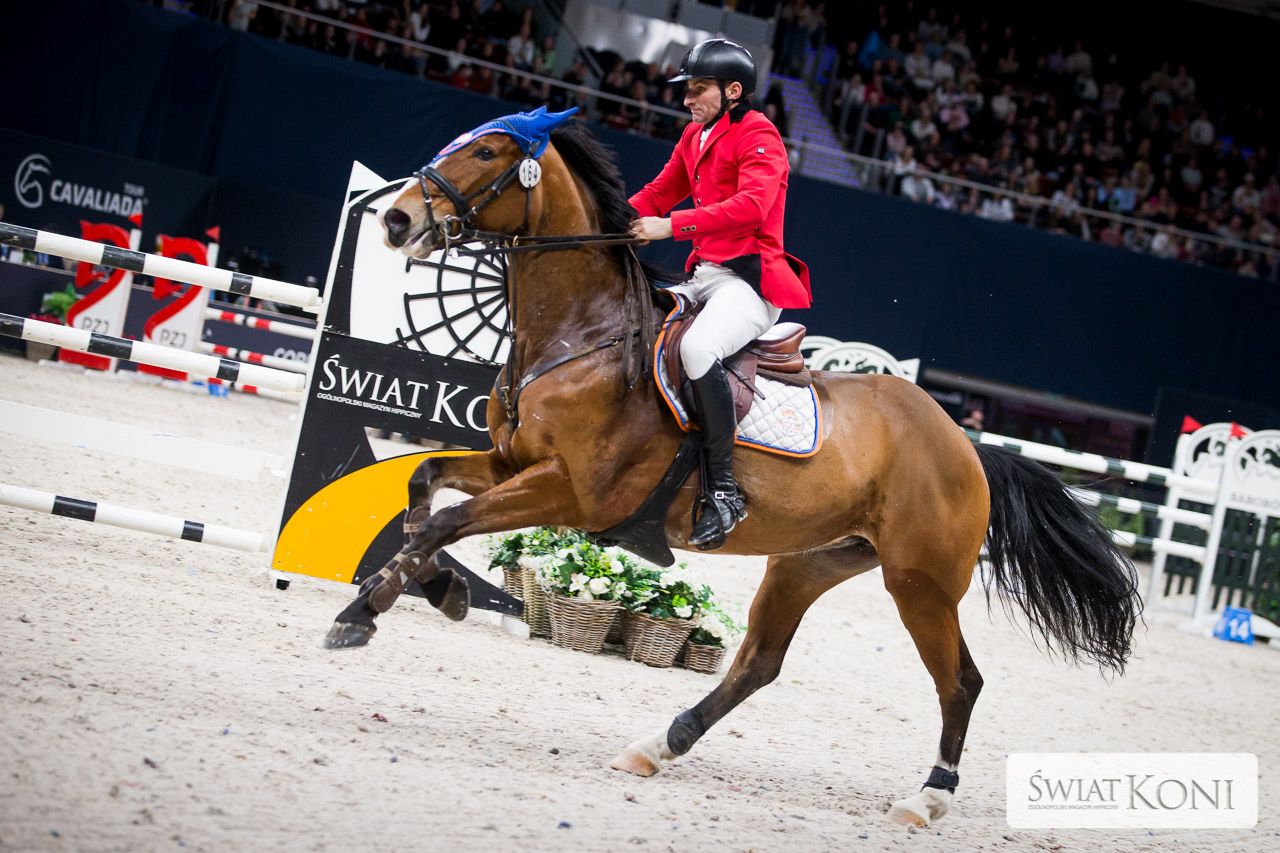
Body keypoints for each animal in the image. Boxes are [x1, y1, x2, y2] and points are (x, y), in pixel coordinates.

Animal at [323, 112, 1140, 827]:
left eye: (489, 152)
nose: (396, 221)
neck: (578, 337)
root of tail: (967, 443)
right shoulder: (509, 464)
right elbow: (424, 489)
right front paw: (436, 590)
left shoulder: (571, 492)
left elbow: (450, 518)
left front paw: (363, 613)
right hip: (810, 561)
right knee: (759, 663)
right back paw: (659, 744)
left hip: (921, 583)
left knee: (959, 681)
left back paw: (926, 798)